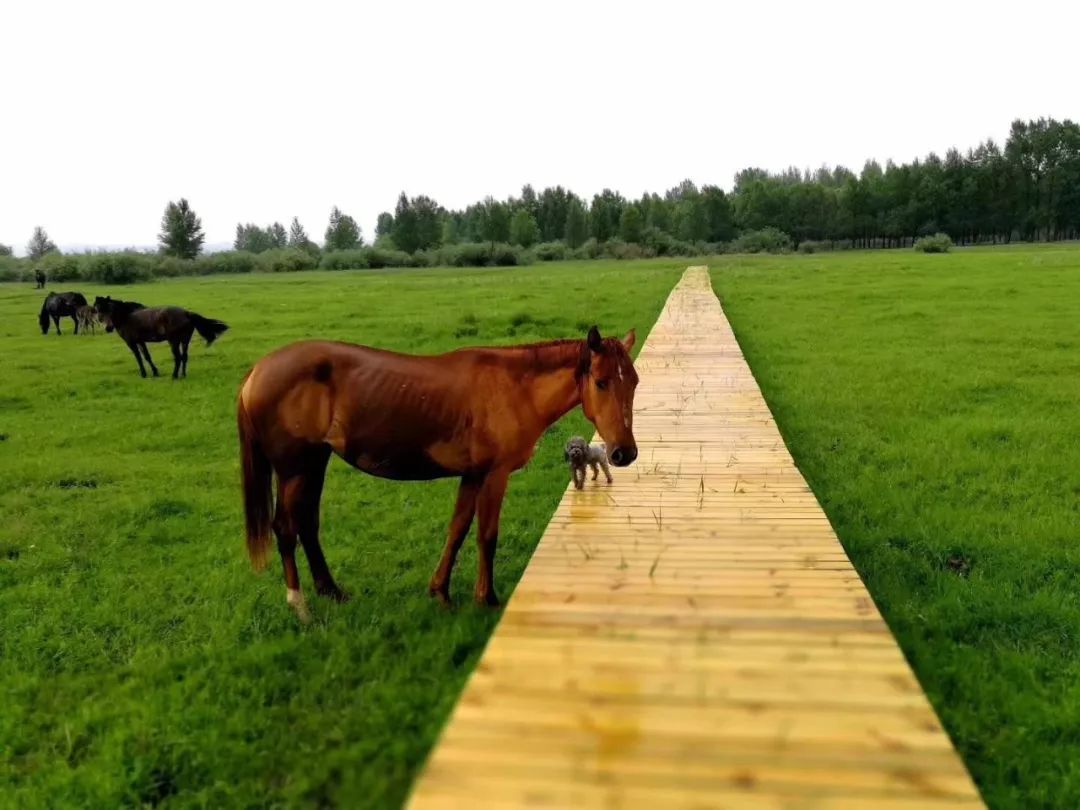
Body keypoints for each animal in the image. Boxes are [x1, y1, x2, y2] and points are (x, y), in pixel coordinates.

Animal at [95, 295, 227, 380]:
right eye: (99, 311)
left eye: (110, 310)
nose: (108, 328)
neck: (126, 317)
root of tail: (186, 313)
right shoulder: (141, 341)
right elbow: (147, 356)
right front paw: (155, 373)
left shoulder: (131, 343)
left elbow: (139, 358)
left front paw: (143, 374)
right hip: (185, 341)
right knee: (184, 357)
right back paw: (183, 375)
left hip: (174, 341)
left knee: (178, 358)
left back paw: (174, 376)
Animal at [239, 328, 635, 622]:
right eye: (601, 382)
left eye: (632, 381)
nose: (624, 453)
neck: (514, 388)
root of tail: (257, 373)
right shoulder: (494, 475)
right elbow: (486, 536)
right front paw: (486, 598)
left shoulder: (473, 476)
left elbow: (457, 530)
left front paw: (440, 592)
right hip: (294, 470)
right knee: (285, 528)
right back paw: (301, 607)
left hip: (314, 463)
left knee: (307, 524)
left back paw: (332, 592)